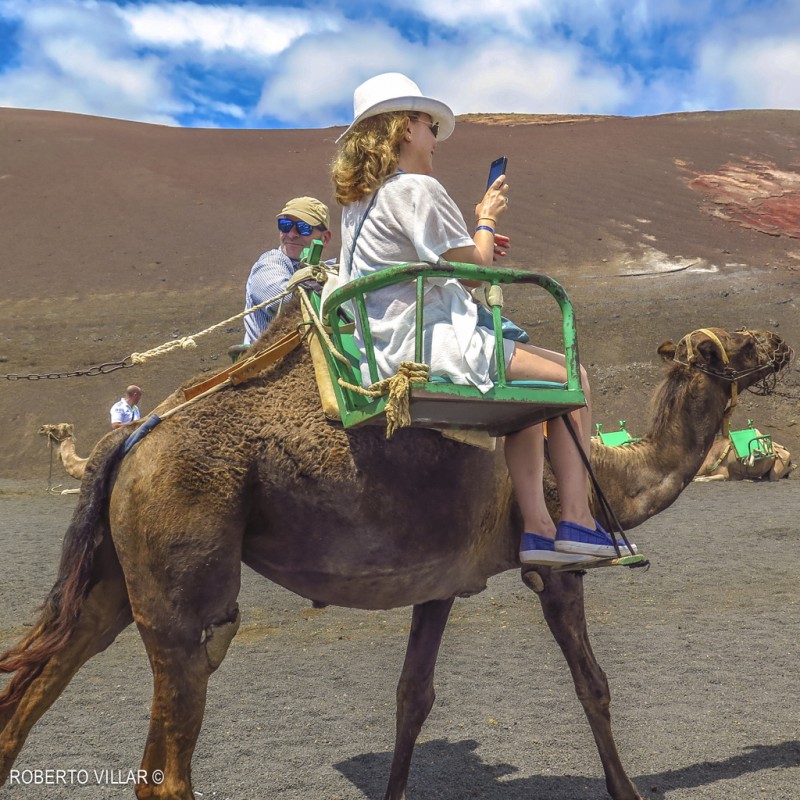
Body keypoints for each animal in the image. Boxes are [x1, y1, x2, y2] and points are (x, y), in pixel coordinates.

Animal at [0, 310, 792, 796]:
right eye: (723, 347)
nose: (779, 340)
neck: (609, 475)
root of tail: (131, 437)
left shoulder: (439, 579)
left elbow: (414, 697)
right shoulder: (553, 567)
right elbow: (592, 684)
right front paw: (626, 789)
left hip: (114, 575)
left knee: (46, 678)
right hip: (182, 567)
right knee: (176, 725)